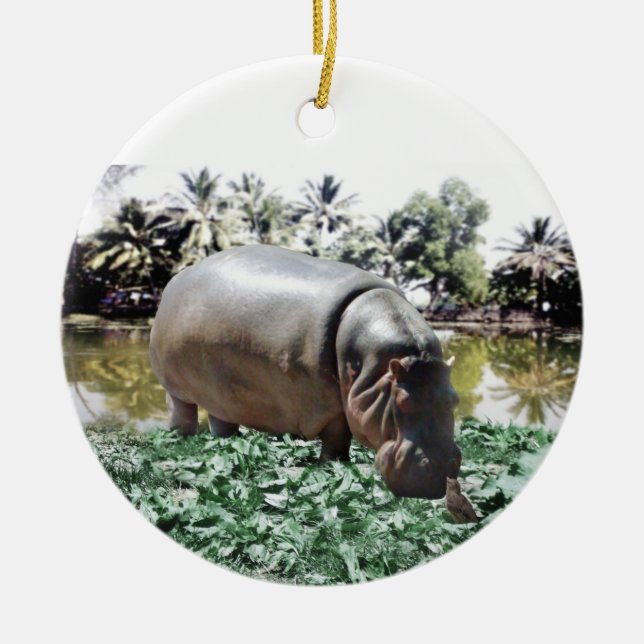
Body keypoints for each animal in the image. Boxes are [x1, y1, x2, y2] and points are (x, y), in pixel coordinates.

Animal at [149, 244, 461, 499]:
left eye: (454, 400)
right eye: (402, 401)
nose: (441, 468)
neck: (377, 370)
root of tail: (176, 279)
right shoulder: (328, 405)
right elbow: (336, 437)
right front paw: (334, 464)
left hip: (221, 391)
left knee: (221, 418)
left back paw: (229, 441)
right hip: (174, 387)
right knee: (182, 411)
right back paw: (181, 437)